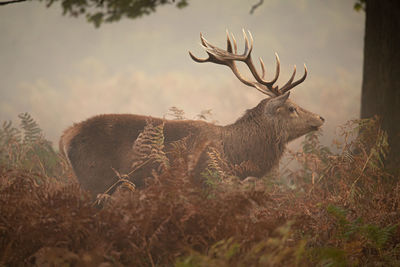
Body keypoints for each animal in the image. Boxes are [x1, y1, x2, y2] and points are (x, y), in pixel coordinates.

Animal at [61, 30, 326, 198]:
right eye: (292, 108)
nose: (321, 118)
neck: (234, 157)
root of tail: (65, 137)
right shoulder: (207, 180)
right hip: (95, 181)